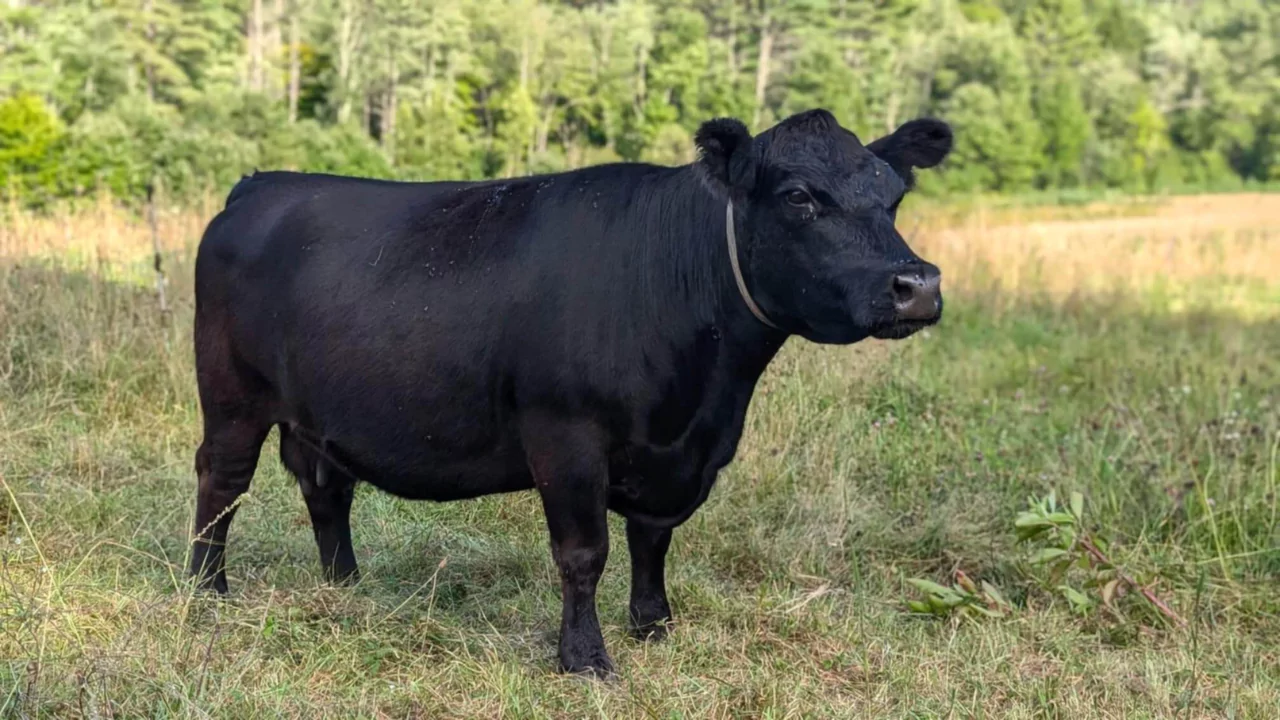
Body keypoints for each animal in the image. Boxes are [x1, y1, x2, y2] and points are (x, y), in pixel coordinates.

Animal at [189, 108, 952, 676]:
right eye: (798, 197)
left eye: (894, 198)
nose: (917, 284)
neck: (706, 398)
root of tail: (262, 184)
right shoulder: (567, 437)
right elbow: (585, 553)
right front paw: (584, 658)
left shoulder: (676, 456)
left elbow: (653, 540)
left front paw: (654, 625)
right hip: (231, 396)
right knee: (221, 481)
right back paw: (206, 591)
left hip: (318, 410)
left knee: (325, 487)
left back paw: (345, 586)